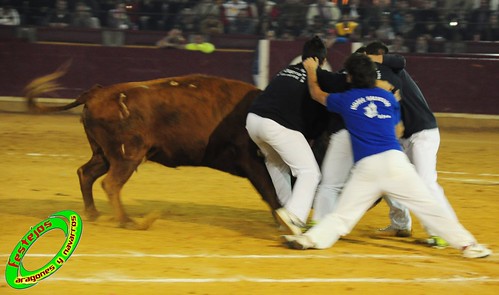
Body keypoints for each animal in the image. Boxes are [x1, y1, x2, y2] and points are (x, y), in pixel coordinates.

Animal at [25, 66, 284, 230]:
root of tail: (97, 93)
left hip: (105, 154)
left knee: (86, 173)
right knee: (110, 183)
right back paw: (127, 221)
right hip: (127, 155)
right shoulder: (253, 161)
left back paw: (94, 214)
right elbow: (270, 192)